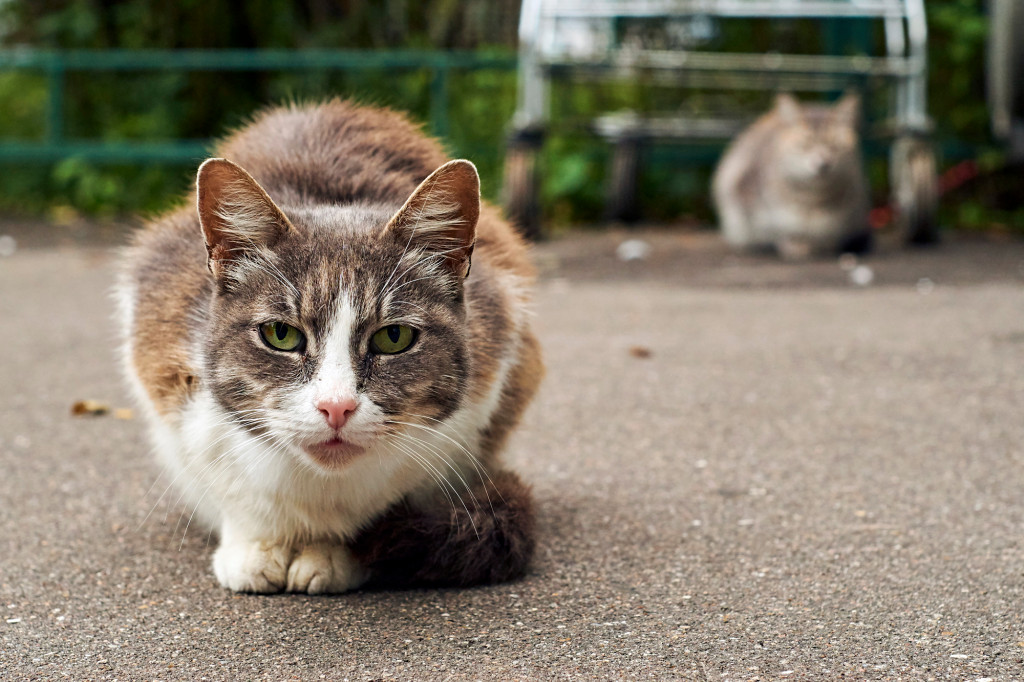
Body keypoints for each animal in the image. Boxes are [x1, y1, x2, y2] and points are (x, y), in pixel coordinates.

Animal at [117, 98, 544, 593]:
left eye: (393, 337)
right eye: (281, 335)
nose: (336, 407)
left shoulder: (493, 358)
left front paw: (333, 554)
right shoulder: (164, 362)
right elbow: (231, 482)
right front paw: (255, 547)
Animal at [712, 93, 872, 258]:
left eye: (834, 145)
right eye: (806, 143)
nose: (823, 163)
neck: (812, 200)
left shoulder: (849, 213)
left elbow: (831, 233)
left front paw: (825, 245)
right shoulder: (756, 211)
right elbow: (778, 231)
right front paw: (794, 245)